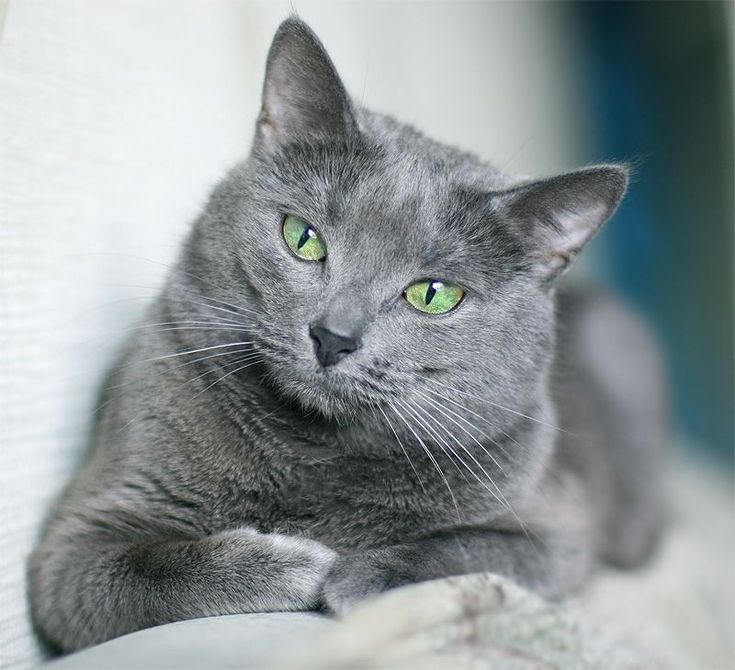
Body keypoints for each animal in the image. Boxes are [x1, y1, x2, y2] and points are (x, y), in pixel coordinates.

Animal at [27, 19, 668, 656]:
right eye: (302, 237)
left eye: (434, 294)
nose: (333, 336)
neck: (314, 451)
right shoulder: (76, 542)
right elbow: (149, 574)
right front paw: (294, 565)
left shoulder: (559, 531)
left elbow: (466, 549)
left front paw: (358, 570)